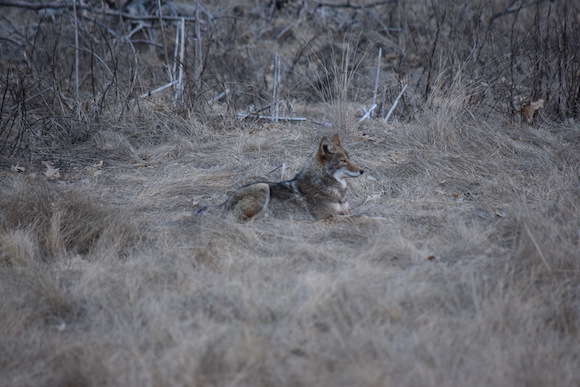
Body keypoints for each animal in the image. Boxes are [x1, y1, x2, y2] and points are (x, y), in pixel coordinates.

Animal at [197, 134, 364, 223]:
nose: (362, 171)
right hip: (263, 187)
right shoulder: (327, 218)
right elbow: (364, 217)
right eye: (344, 161)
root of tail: (223, 204)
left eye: (349, 159)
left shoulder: (344, 212)